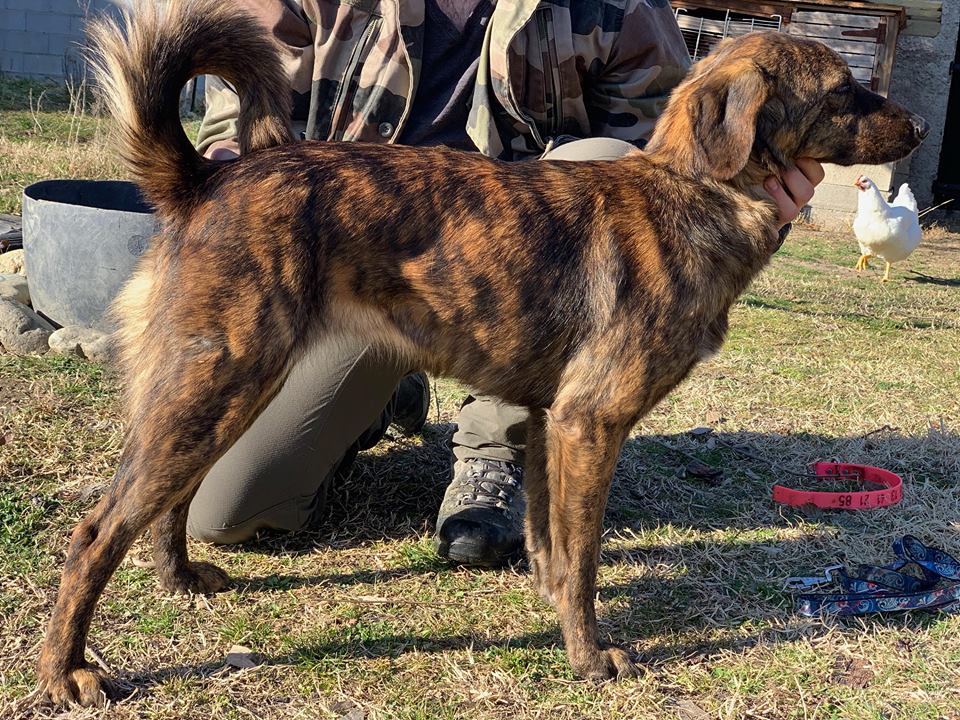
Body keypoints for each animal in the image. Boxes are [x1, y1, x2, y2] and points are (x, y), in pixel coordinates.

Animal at [35, 0, 924, 704]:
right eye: (843, 91)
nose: (917, 128)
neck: (697, 191)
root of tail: (207, 180)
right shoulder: (592, 423)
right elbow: (586, 559)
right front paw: (589, 659)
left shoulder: (554, 424)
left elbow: (553, 547)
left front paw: (553, 609)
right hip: (222, 382)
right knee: (97, 530)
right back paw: (67, 671)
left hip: (221, 392)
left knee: (166, 503)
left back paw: (180, 580)